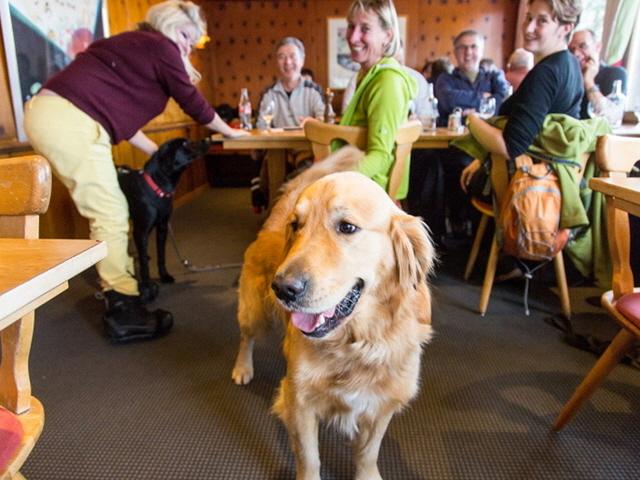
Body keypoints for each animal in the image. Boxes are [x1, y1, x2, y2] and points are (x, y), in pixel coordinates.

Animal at [117, 137, 210, 300]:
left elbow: (161, 255)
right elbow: (144, 264)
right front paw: (147, 286)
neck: (158, 187)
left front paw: (164, 275)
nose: (207, 139)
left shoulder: (162, 227)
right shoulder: (141, 231)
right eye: (185, 144)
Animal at [230, 147, 436, 480]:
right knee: (246, 338)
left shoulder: (382, 405)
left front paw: (367, 474)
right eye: (297, 225)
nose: (283, 288)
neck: (355, 343)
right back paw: (242, 368)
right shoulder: (298, 401)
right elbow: (309, 457)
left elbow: (368, 453)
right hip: (254, 311)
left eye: (347, 227)